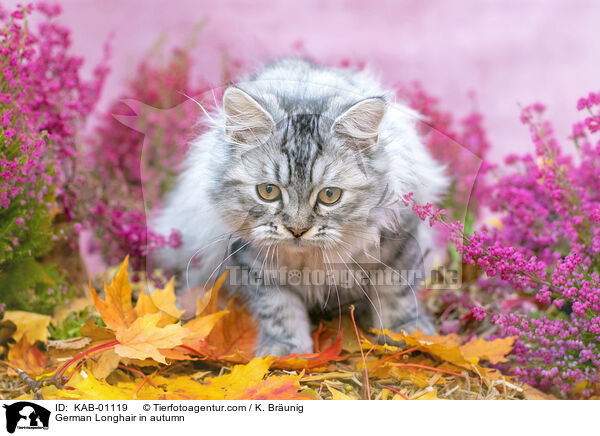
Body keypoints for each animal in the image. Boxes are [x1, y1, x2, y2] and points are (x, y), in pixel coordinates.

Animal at [152, 58, 448, 358]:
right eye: (268, 191)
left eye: (329, 195)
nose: (297, 230)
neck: (310, 260)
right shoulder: (254, 262)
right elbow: (279, 309)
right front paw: (286, 350)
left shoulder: (399, 241)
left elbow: (397, 294)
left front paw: (408, 333)